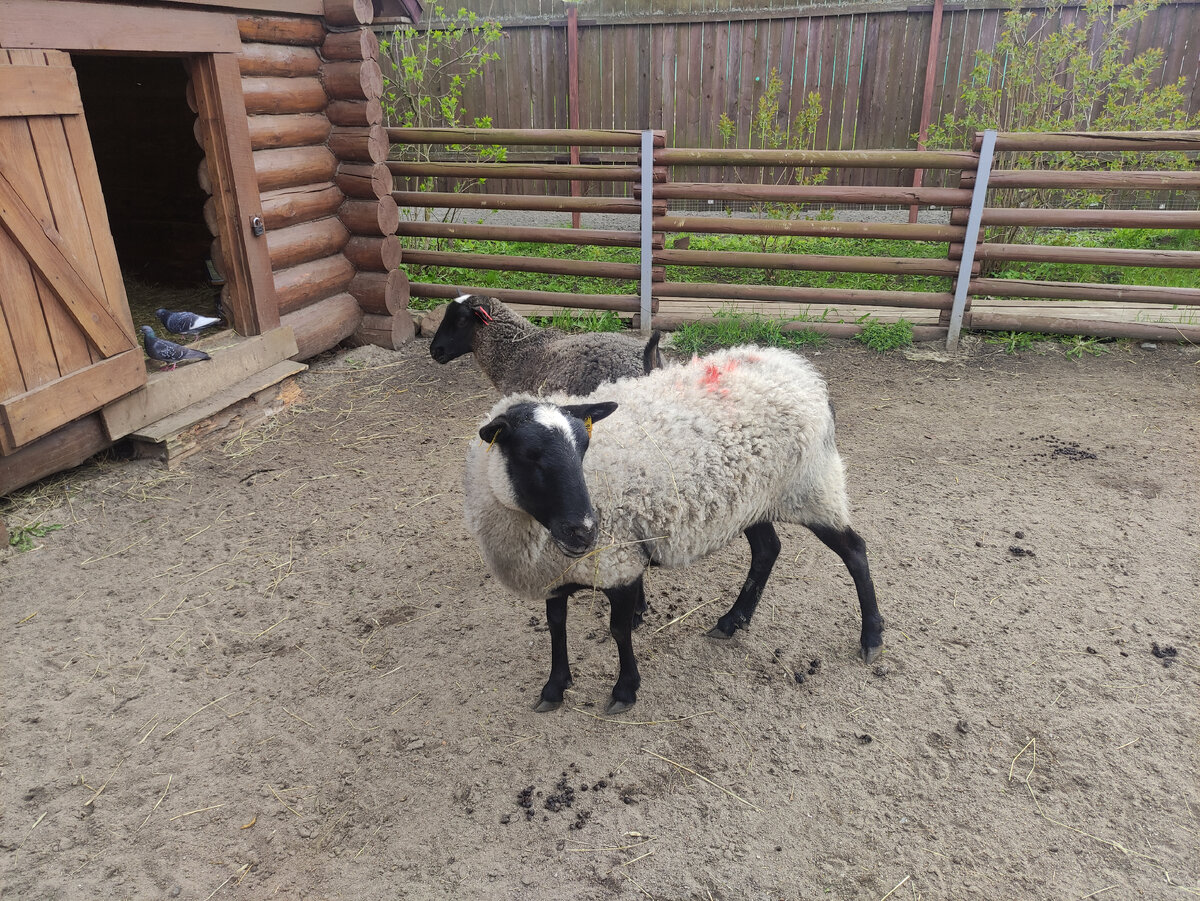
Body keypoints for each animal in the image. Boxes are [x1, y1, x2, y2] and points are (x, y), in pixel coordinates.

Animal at [463, 347, 888, 715]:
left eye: (584, 447)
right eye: (528, 455)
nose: (584, 531)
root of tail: (797, 367)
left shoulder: (619, 559)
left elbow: (618, 630)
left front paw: (625, 690)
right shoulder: (556, 572)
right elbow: (556, 626)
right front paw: (554, 687)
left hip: (812, 487)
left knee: (855, 551)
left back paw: (871, 638)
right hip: (752, 500)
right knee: (768, 549)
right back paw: (732, 621)